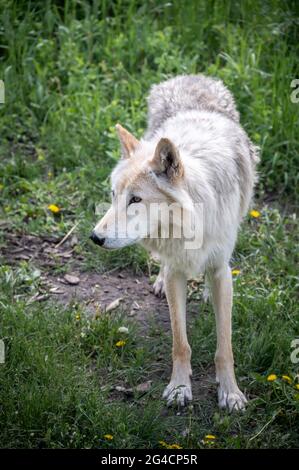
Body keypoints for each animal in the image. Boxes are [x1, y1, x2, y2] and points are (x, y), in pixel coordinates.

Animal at [91, 74, 260, 412]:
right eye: (115, 195)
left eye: (136, 199)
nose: (95, 237)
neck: (191, 221)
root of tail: (191, 77)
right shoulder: (176, 271)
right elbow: (180, 343)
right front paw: (180, 388)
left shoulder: (221, 269)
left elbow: (225, 346)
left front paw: (230, 393)